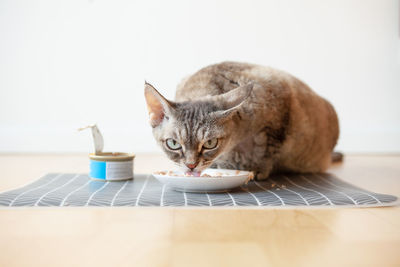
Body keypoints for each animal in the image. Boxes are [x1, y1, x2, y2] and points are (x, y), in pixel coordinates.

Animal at [144, 61, 338, 180]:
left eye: (210, 143)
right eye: (173, 144)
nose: (191, 166)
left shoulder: (279, 116)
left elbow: (267, 151)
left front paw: (257, 169)